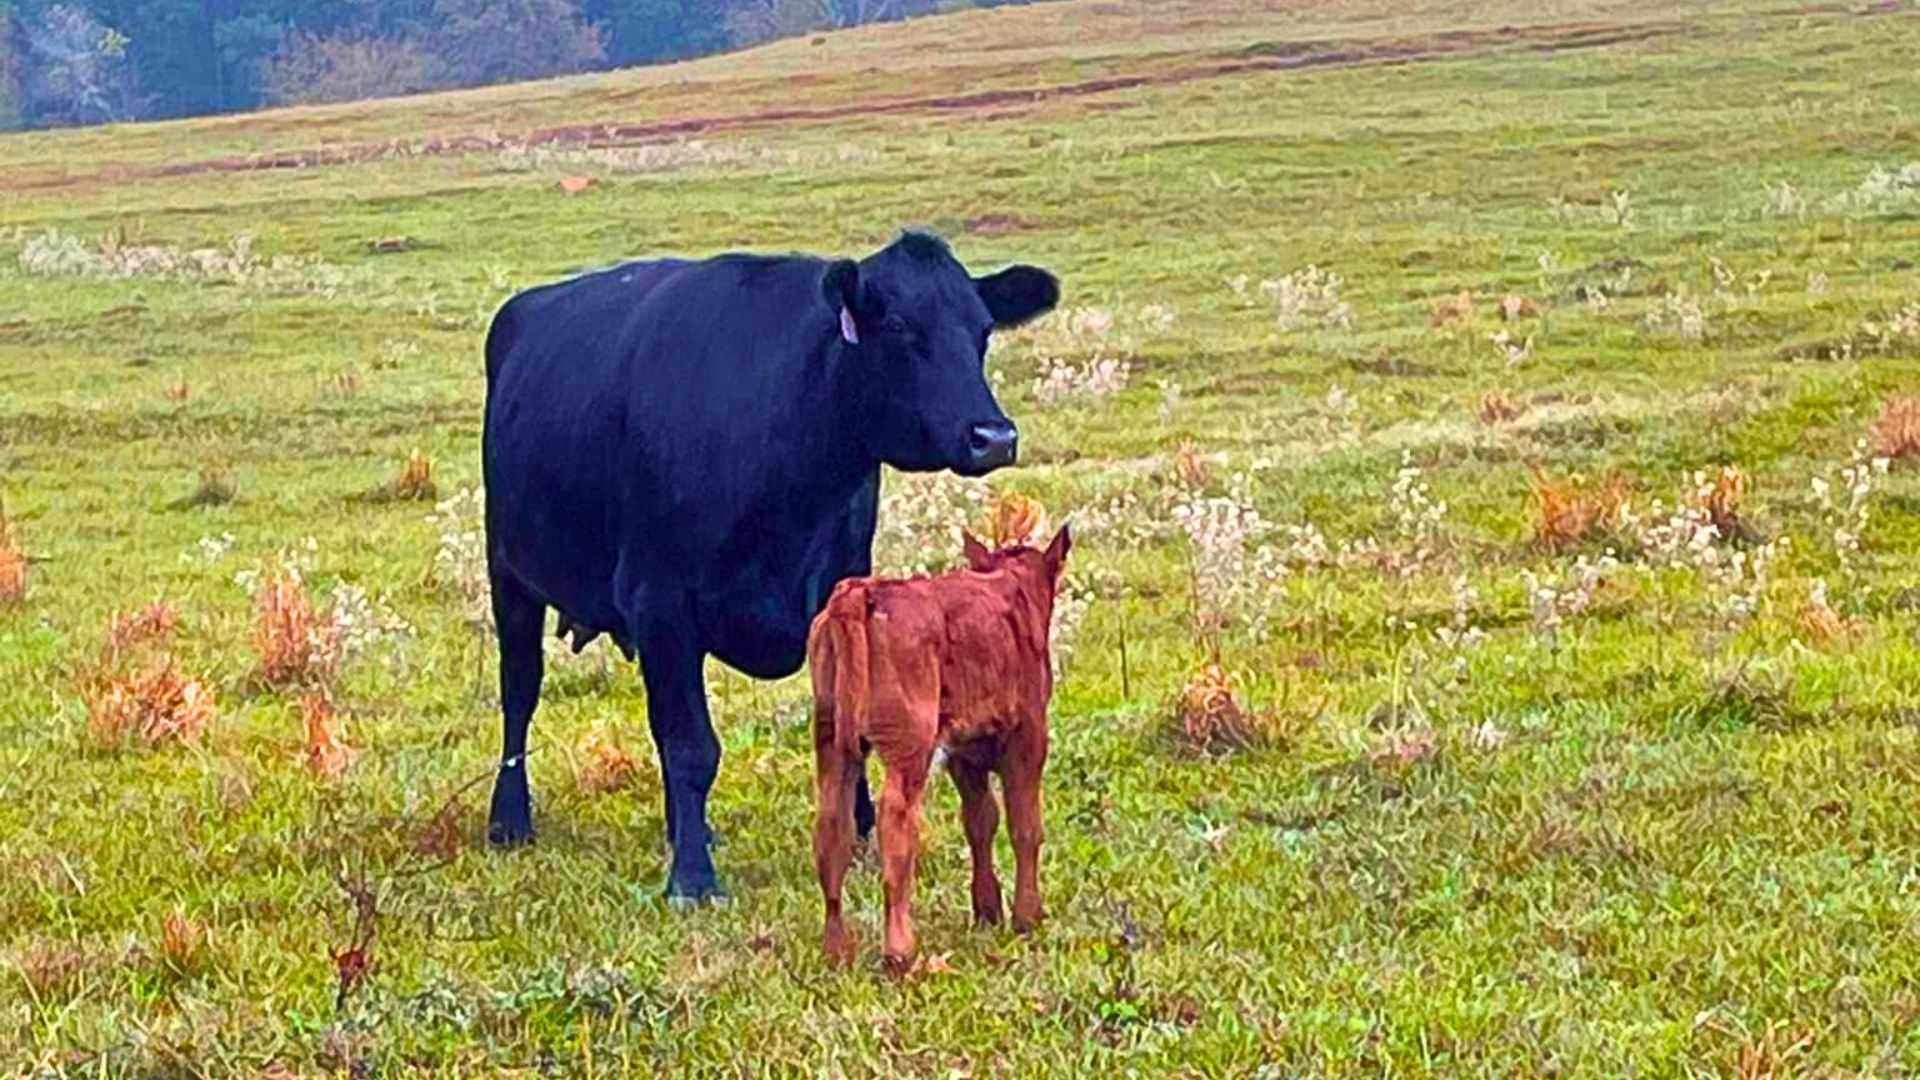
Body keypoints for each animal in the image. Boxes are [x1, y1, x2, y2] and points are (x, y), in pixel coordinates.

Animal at [481, 231, 1059, 902]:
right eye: (895, 324)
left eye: (982, 328)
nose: (993, 436)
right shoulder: (660, 598)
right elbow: (690, 744)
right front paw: (693, 879)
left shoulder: (838, 589)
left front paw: (859, 836)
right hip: (510, 574)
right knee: (520, 692)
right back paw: (509, 820)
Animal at [807, 525, 1070, 971]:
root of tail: (857, 591)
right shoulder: (1029, 734)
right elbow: (1025, 825)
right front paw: (1027, 917)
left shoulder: (964, 749)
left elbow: (980, 820)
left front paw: (987, 911)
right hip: (909, 743)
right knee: (896, 822)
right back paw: (899, 952)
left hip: (830, 739)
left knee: (831, 826)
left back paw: (834, 950)